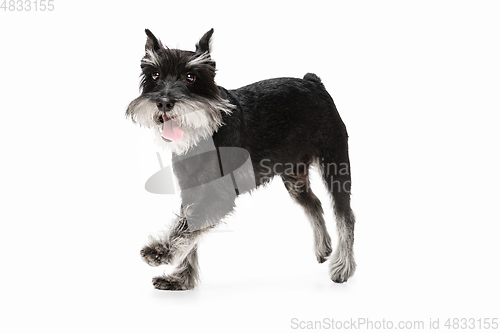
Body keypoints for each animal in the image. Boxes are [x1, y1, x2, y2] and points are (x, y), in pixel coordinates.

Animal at [127, 28, 358, 290]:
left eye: (190, 77)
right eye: (155, 74)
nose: (164, 102)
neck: (205, 132)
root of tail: (313, 82)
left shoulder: (219, 196)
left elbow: (187, 227)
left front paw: (160, 251)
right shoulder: (191, 192)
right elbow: (188, 230)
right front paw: (181, 278)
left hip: (335, 166)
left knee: (345, 215)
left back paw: (343, 266)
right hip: (295, 178)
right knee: (314, 204)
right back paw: (323, 247)